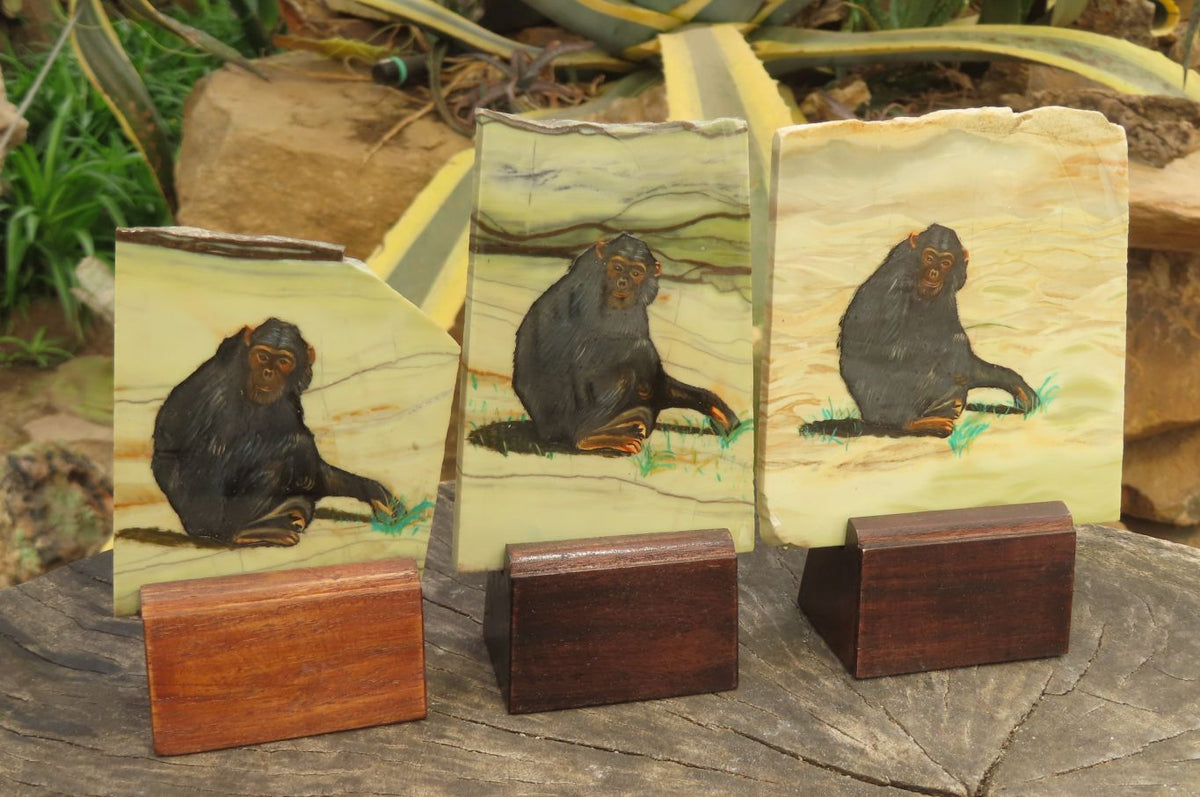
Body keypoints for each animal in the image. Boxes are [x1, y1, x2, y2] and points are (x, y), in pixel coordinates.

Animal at [151, 318, 397, 547]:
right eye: (262, 356)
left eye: (283, 362)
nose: (268, 372)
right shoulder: (221, 393)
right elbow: (218, 451)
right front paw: (301, 446)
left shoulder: (289, 397)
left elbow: (318, 468)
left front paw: (373, 491)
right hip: (205, 516)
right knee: (276, 464)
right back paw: (243, 531)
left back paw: (287, 514)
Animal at [512, 233, 740, 456]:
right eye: (618, 267)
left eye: (636, 273)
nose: (623, 281)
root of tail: (544, 431)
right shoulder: (589, 293)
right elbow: (593, 349)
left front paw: (716, 408)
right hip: (568, 421)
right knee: (623, 370)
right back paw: (590, 436)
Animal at [837, 223, 1039, 438]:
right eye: (929, 258)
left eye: (945, 263)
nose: (934, 272)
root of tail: (868, 417)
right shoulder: (895, 286)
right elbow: (890, 349)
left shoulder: (947, 296)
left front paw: (1016, 384)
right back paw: (915, 422)